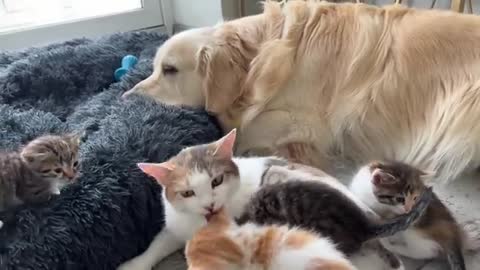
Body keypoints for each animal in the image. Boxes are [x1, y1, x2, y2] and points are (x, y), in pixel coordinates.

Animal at [117, 129, 288, 270]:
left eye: (217, 181)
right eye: (187, 193)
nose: (209, 205)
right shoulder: (177, 224)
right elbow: (158, 245)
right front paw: (134, 264)